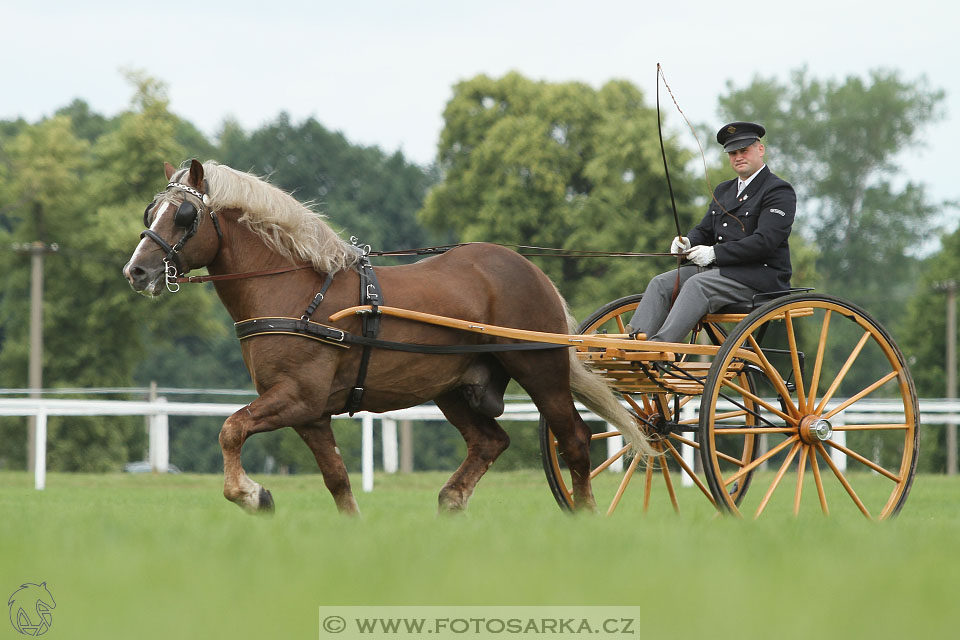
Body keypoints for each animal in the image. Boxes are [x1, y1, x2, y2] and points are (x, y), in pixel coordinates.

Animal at [122, 160, 652, 516]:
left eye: (185, 215)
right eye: (151, 211)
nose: (137, 271)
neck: (295, 288)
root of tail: (528, 269)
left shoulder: (295, 397)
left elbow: (231, 428)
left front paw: (252, 495)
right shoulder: (309, 413)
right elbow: (337, 478)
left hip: (539, 369)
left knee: (575, 440)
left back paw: (586, 516)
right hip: (453, 388)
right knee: (490, 442)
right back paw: (451, 502)